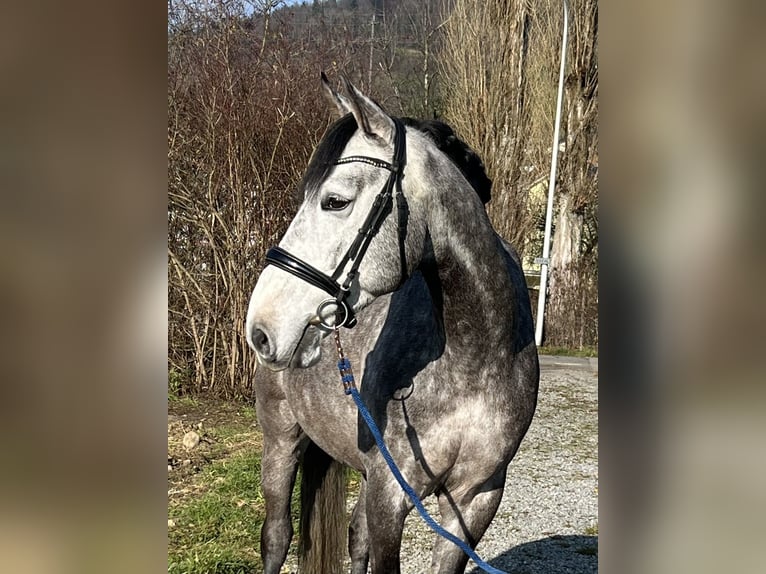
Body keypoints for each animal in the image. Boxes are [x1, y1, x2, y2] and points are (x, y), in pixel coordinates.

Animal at [248, 76, 540, 574]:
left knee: (354, 536)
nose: (261, 327)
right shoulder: (391, 496)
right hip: (281, 439)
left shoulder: (475, 500)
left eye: (335, 201)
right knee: (277, 536)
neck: (477, 358)